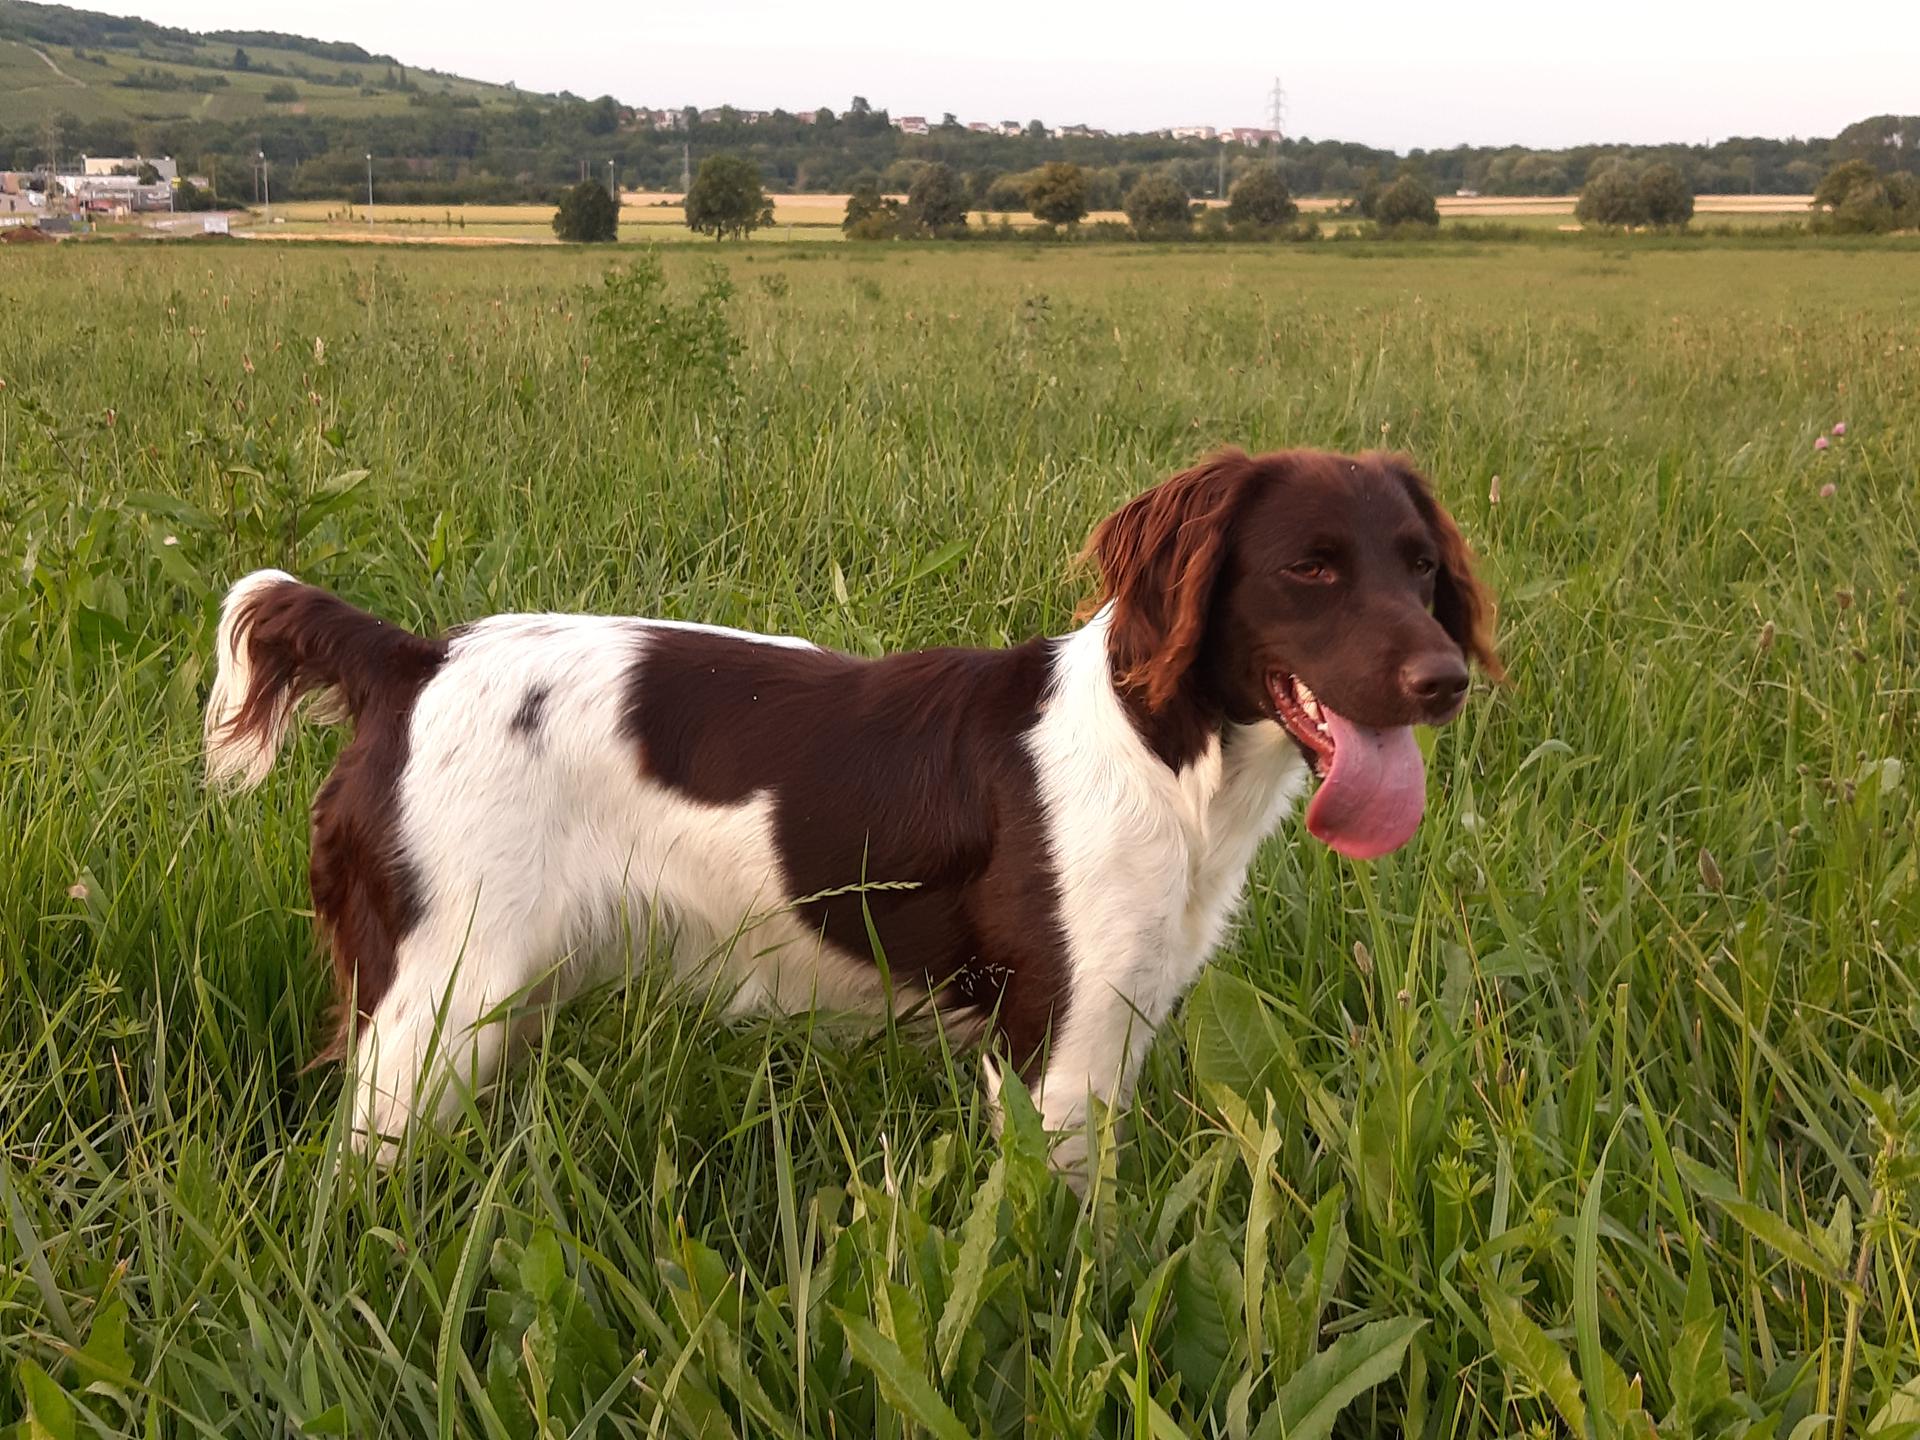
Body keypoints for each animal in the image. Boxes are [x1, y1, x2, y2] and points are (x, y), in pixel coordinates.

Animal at [206, 451, 1497, 1175]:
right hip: (435, 1004)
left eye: (1422, 566)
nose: (1447, 681)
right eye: (1310, 569)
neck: (1163, 757)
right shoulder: (1054, 1049)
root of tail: (411, 659)